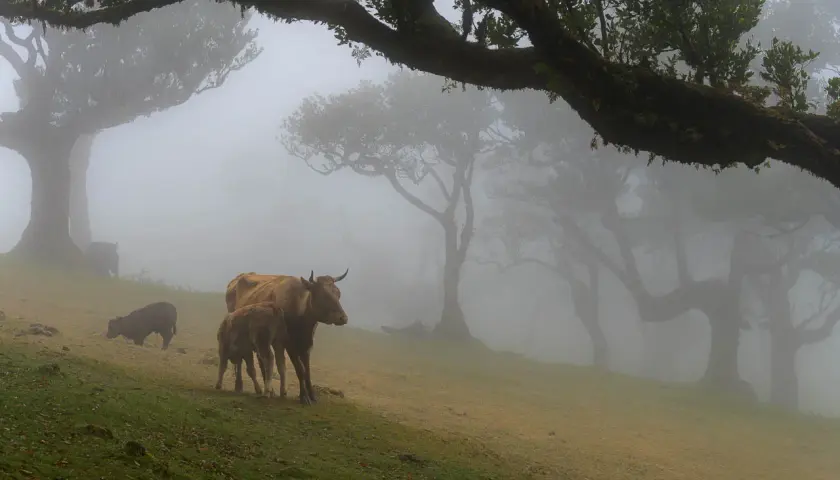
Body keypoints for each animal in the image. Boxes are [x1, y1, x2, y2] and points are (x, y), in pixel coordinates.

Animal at [224, 270, 349, 405]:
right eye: (324, 295)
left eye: (338, 293)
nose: (343, 318)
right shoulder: (290, 345)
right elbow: (300, 370)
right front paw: (304, 397)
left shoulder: (306, 345)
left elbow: (307, 371)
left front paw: (312, 396)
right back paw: (241, 386)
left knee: (262, 360)